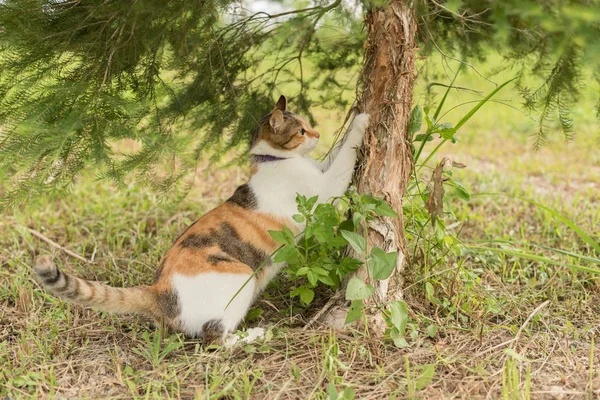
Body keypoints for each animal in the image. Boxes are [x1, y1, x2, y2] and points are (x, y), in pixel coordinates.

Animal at [36, 95, 370, 346]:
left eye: (308, 126)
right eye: (301, 131)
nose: (317, 135)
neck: (273, 160)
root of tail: (158, 291)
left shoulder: (321, 169)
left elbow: (336, 152)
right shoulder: (325, 190)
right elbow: (343, 158)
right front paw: (362, 119)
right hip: (240, 277)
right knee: (214, 339)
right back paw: (258, 334)